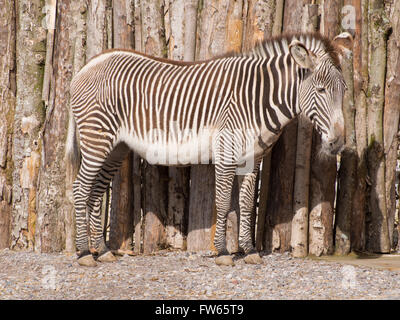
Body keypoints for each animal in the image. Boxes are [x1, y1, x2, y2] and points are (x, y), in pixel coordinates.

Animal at [68, 32, 346, 268]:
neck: (257, 99)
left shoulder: (253, 158)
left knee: (95, 193)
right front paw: (222, 252)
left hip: (116, 148)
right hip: (96, 139)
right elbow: (222, 203)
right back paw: (84, 253)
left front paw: (249, 251)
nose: (339, 142)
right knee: (80, 189)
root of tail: (87, 65)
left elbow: (246, 204)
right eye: (321, 90)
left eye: (344, 91)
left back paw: (103, 251)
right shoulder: (226, 152)